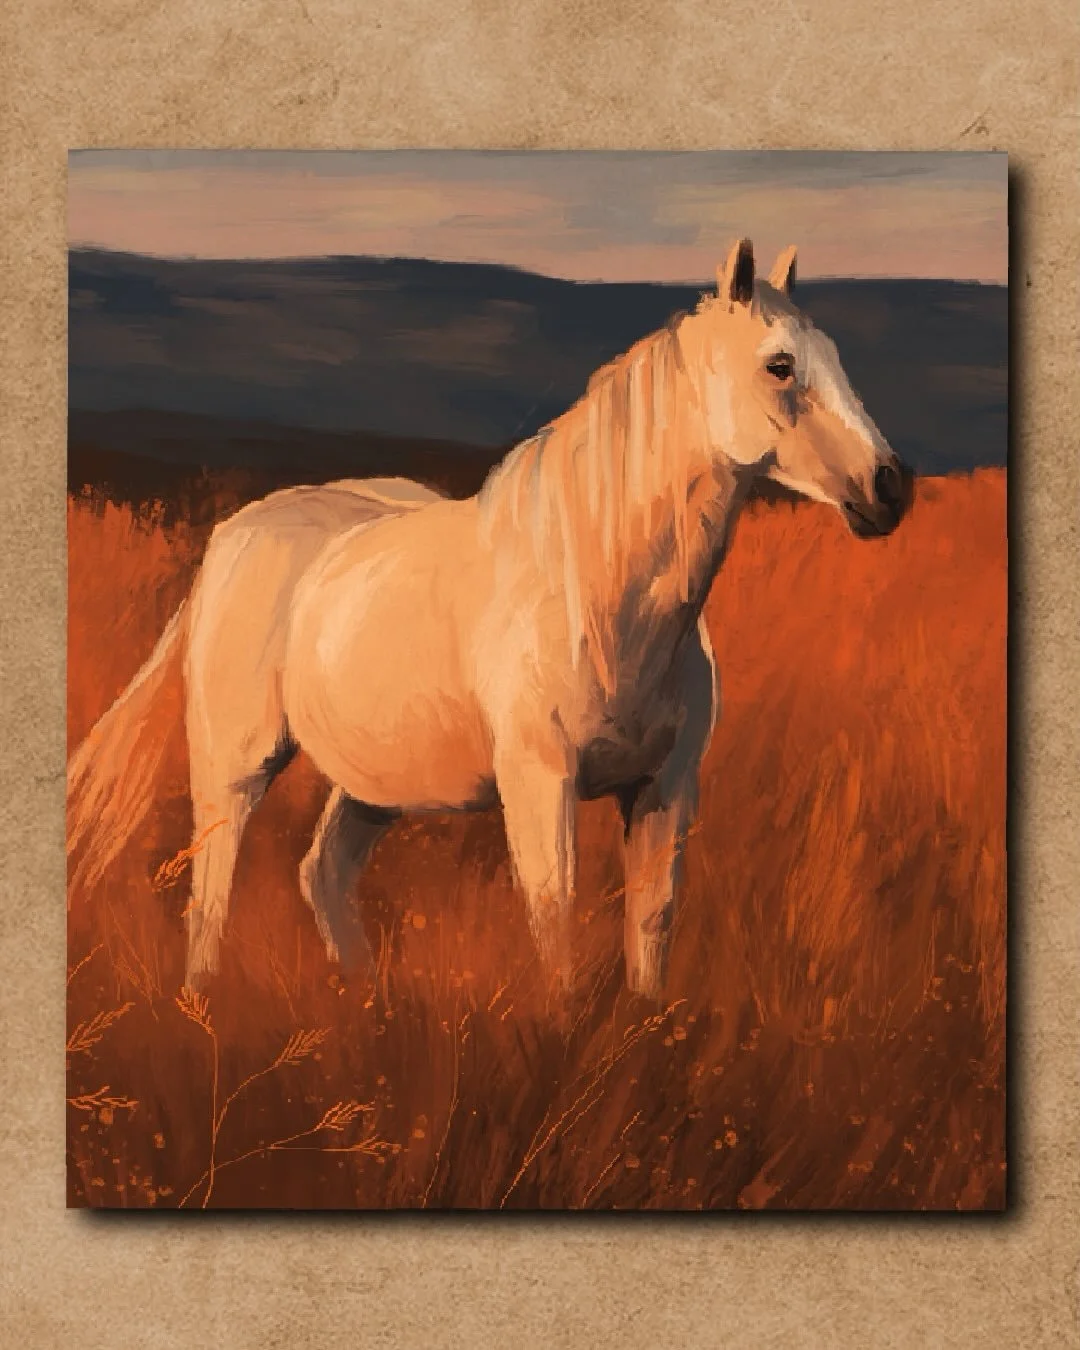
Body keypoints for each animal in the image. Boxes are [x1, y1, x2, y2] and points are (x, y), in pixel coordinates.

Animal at [67, 238, 912, 1002]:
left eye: (834, 355)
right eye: (780, 365)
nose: (890, 488)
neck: (597, 590)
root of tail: (234, 534)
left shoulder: (665, 790)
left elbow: (651, 927)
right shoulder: (541, 784)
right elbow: (554, 920)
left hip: (372, 786)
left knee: (324, 872)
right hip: (234, 764)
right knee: (211, 891)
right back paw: (204, 1005)